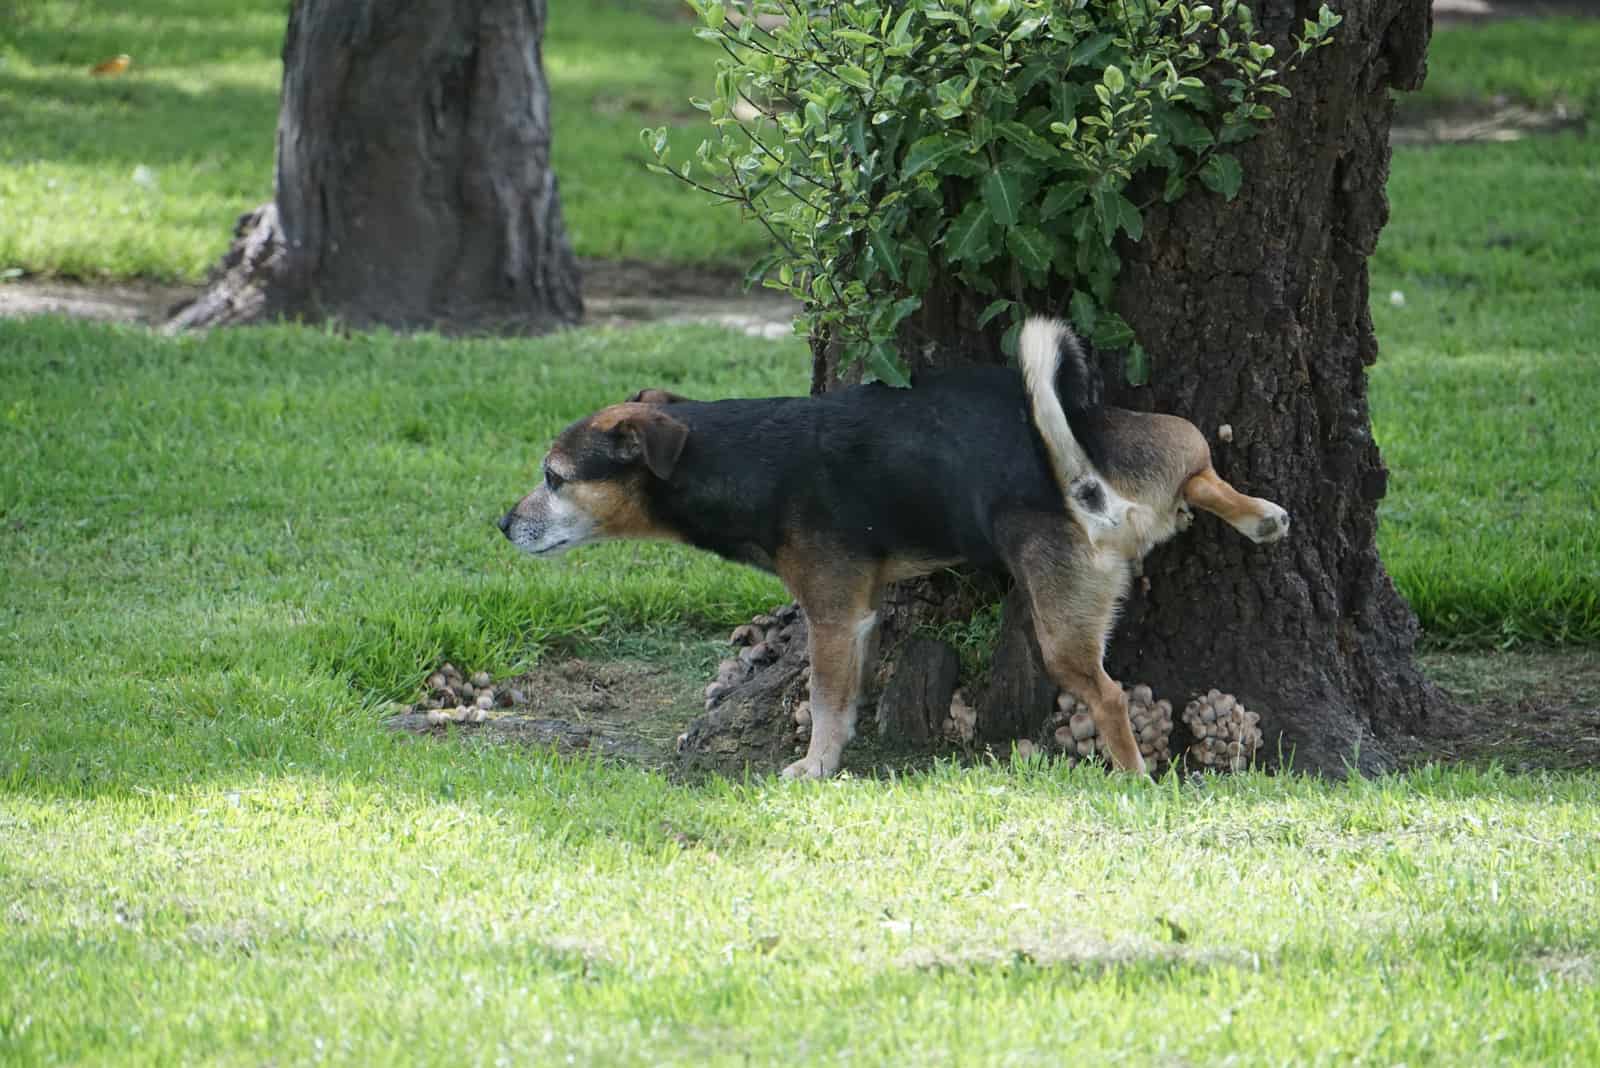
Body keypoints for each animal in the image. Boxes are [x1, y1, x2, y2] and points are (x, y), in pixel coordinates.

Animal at [499, 316, 1286, 777]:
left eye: (554, 478)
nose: (504, 525)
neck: (735, 455)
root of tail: (1089, 491)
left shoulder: (831, 616)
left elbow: (823, 700)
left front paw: (814, 769)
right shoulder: (861, 614)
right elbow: (844, 699)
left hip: (1061, 625)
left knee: (1112, 695)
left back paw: (1132, 776)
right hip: (1150, 440)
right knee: (1196, 463)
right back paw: (1260, 516)